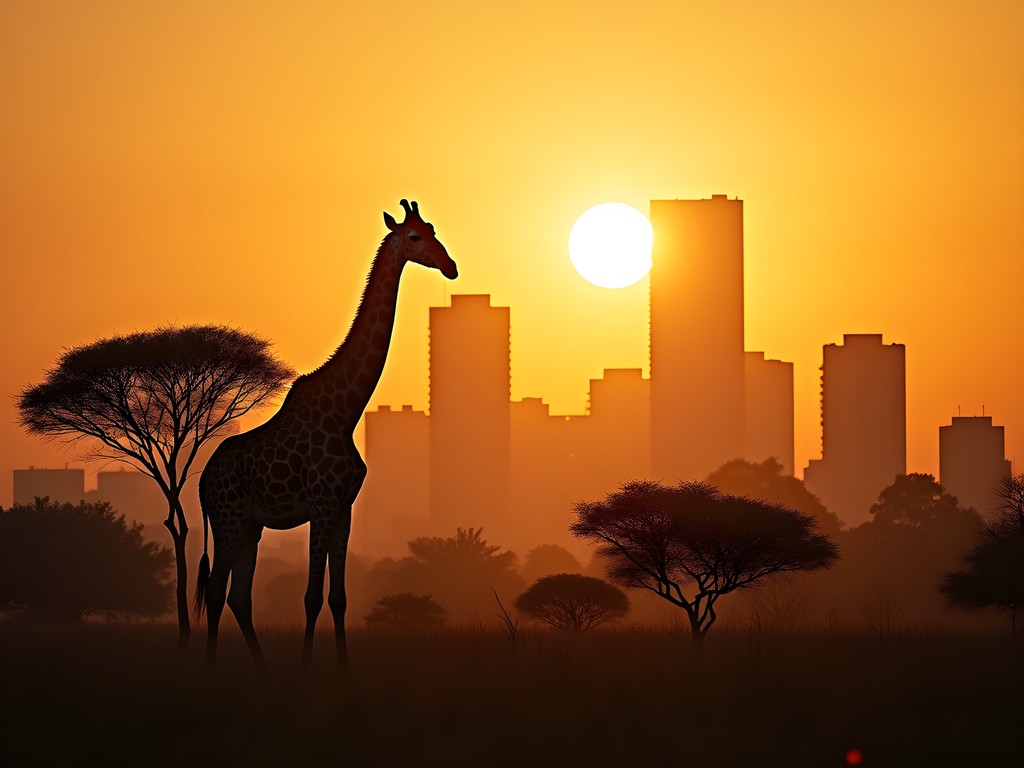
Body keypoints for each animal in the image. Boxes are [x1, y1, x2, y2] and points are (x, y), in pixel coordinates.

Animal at [194, 199, 457, 671]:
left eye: (432, 228)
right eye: (414, 236)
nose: (451, 267)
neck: (346, 412)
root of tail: (203, 481)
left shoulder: (344, 508)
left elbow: (338, 598)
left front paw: (343, 669)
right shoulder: (320, 504)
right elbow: (311, 597)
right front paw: (304, 670)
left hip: (250, 527)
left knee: (238, 596)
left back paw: (263, 672)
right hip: (227, 519)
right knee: (215, 588)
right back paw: (210, 671)